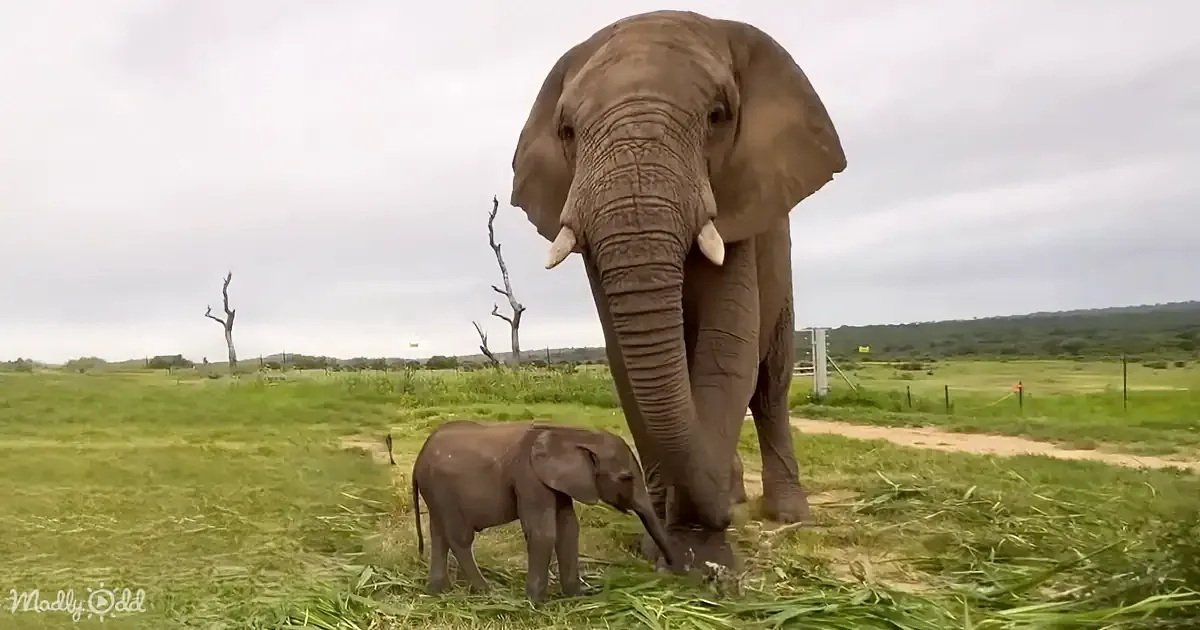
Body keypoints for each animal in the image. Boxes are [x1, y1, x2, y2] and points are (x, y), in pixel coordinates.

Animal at [410, 419, 679, 603]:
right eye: (626, 478)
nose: (675, 572)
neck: (570, 433)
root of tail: (418, 459)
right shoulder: (529, 477)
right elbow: (543, 532)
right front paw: (536, 602)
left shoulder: (558, 481)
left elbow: (569, 529)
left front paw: (577, 595)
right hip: (443, 489)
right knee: (459, 538)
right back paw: (488, 593)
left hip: (435, 491)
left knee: (439, 534)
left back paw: (437, 592)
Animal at [509, 10, 846, 569]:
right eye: (567, 131)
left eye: (718, 116)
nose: (720, 518)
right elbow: (626, 362)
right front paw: (664, 540)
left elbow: (728, 349)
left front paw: (698, 551)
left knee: (770, 385)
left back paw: (786, 515)